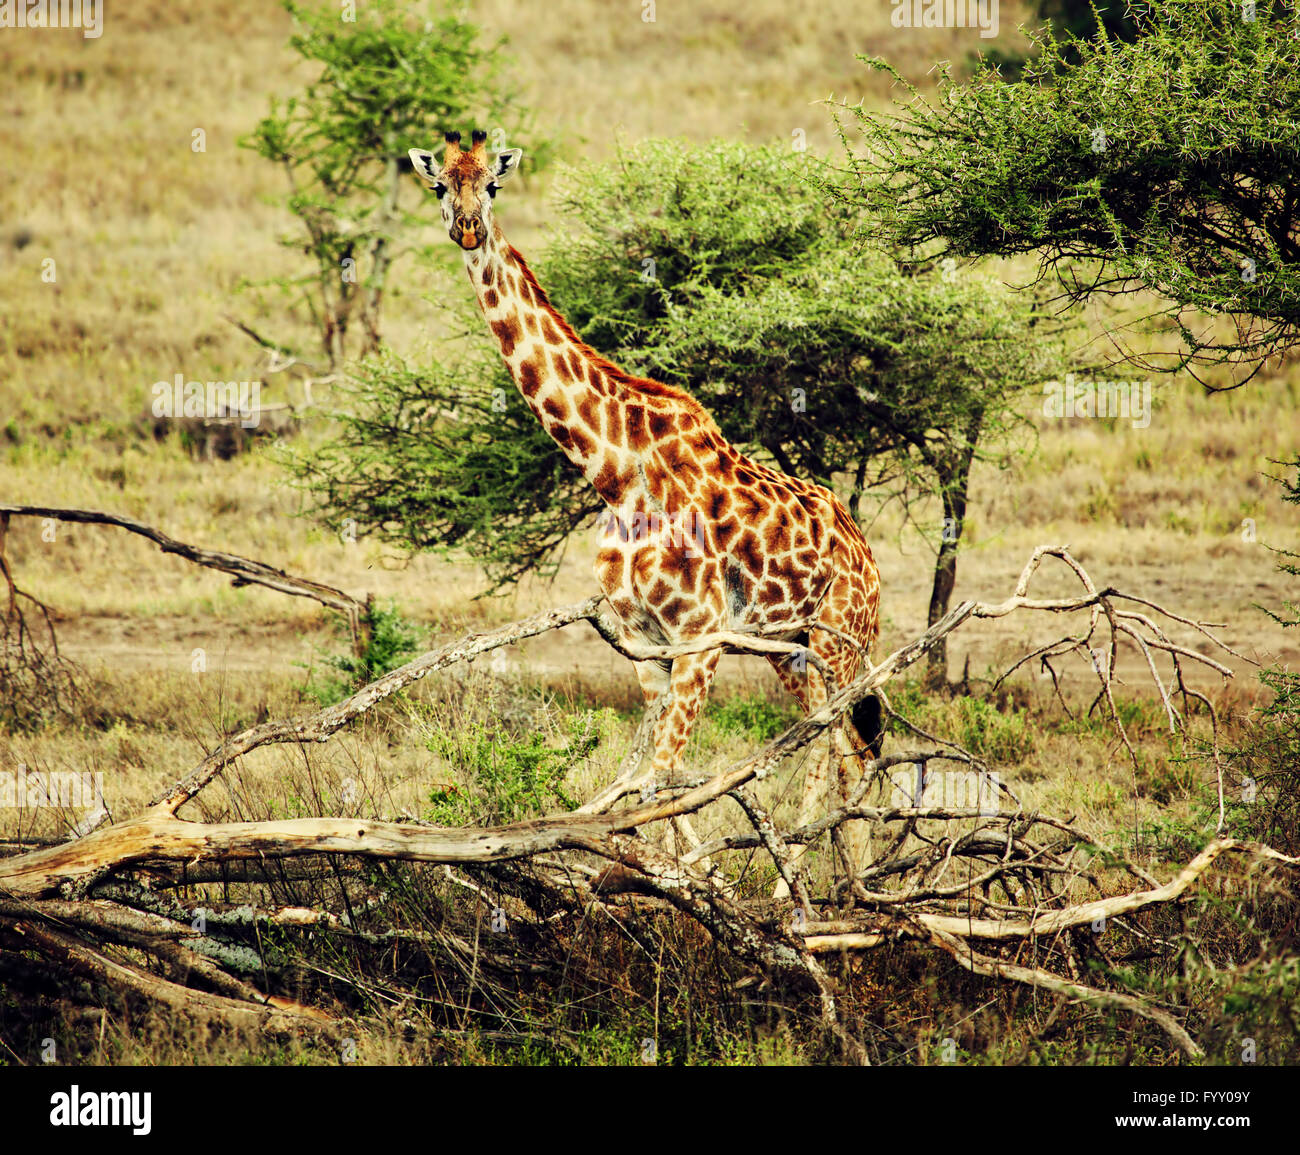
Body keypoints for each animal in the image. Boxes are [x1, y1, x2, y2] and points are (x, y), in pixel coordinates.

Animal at [413, 135, 883, 894]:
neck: (614, 473)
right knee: (828, 738)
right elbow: (653, 778)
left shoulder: (700, 634)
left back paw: (841, 888)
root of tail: (867, 554)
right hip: (790, 644)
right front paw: (689, 879)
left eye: (491, 186)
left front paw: (700, 886)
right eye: (439, 188)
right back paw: (810, 878)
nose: (467, 230)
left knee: (851, 748)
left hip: (842, 638)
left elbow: (662, 775)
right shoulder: (646, 641)